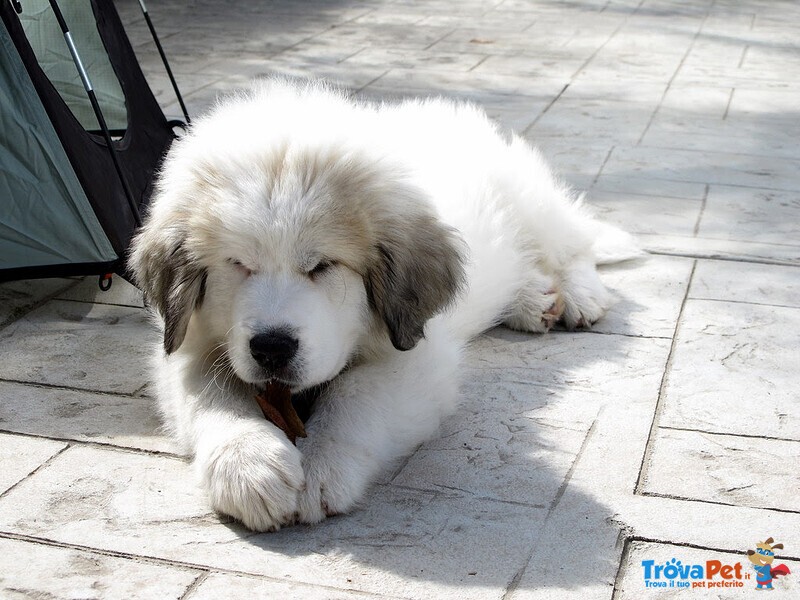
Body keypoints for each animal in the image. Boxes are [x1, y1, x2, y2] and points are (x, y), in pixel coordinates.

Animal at [128, 78, 636, 528]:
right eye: (237, 264)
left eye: (323, 266)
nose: (271, 348)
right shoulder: (188, 344)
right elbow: (212, 395)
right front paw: (247, 468)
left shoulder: (418, 356)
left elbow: (357, 395)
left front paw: (321, 466)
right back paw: (535, 298)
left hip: (531, 202)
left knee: (573, 243)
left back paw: (579, 296)